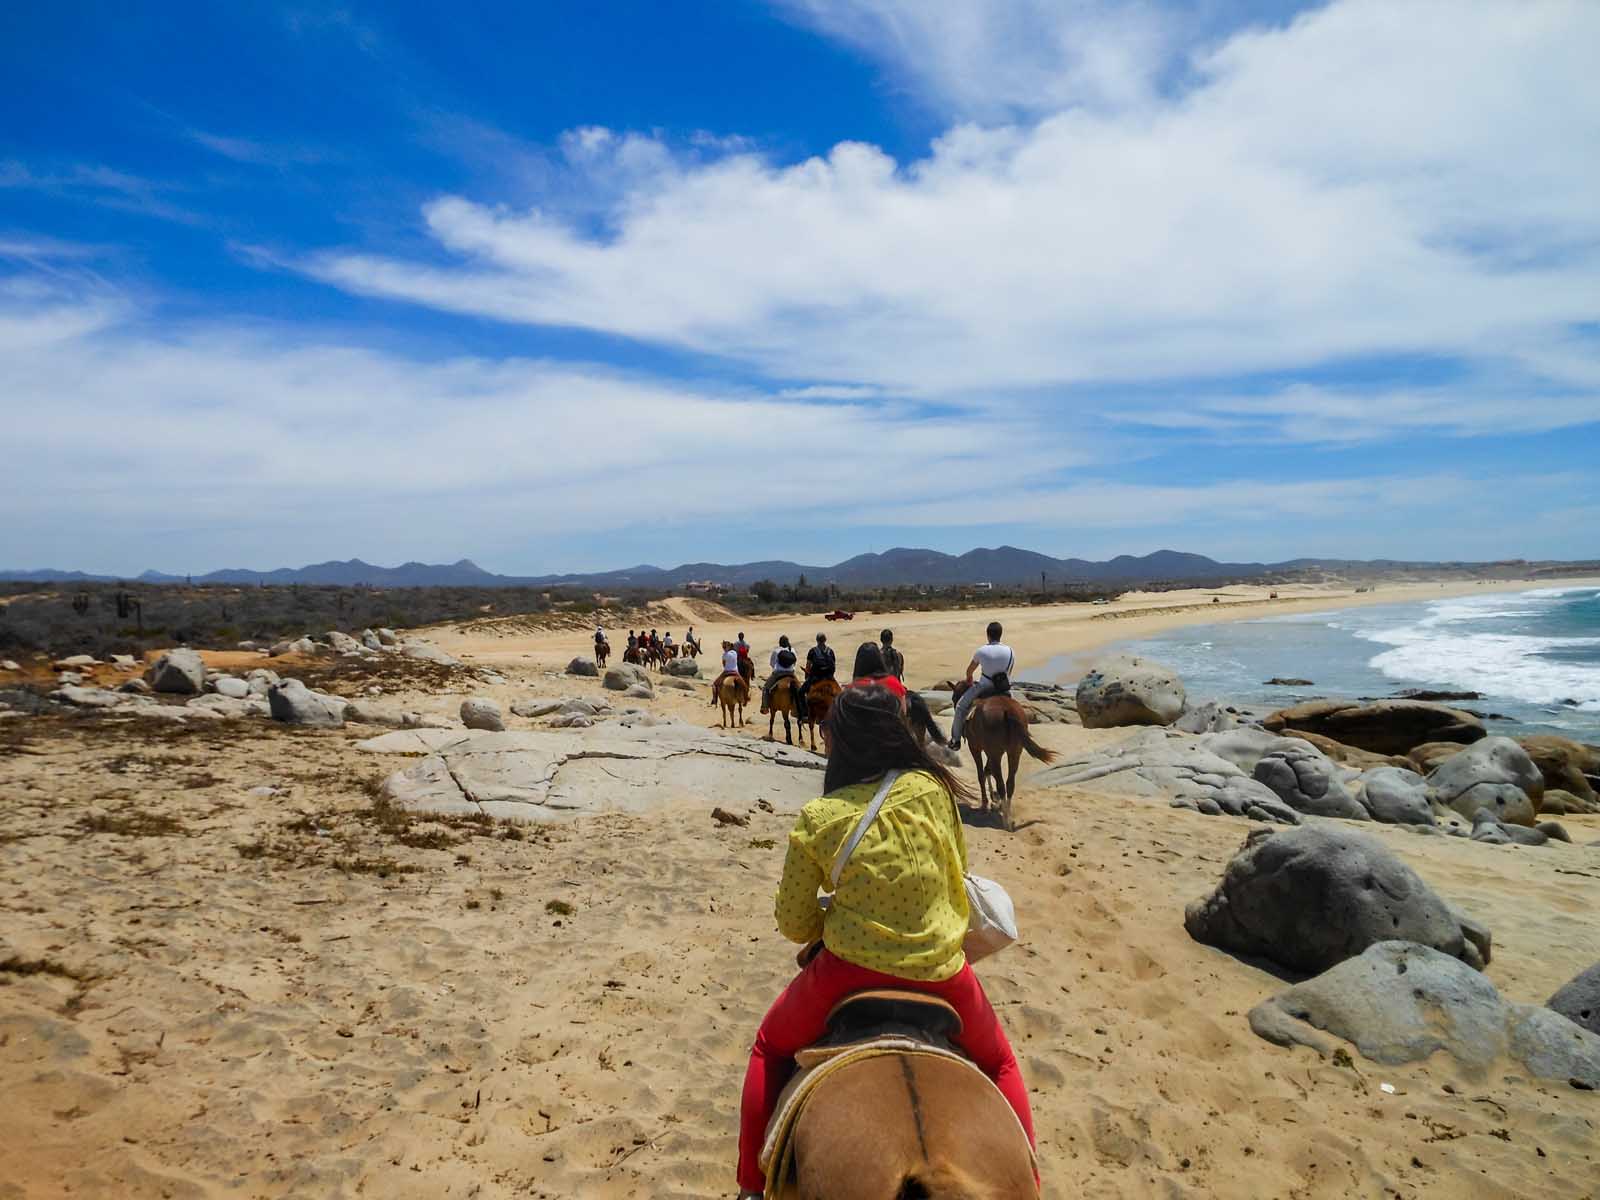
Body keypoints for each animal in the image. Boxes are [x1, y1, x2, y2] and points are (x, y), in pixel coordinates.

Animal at [947, 684, 1049, 838]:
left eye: (954, 697)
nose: (954, 704)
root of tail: (1008, 710)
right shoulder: (992, 752)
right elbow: (988, 770)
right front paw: (996, 801)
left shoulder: (976, 748)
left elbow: (981, 773)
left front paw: (986, 803)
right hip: (1014, 752)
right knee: (1009, 783)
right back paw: (1008, 816)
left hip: (996, 752)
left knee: (1001, 783)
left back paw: (1006, 821)